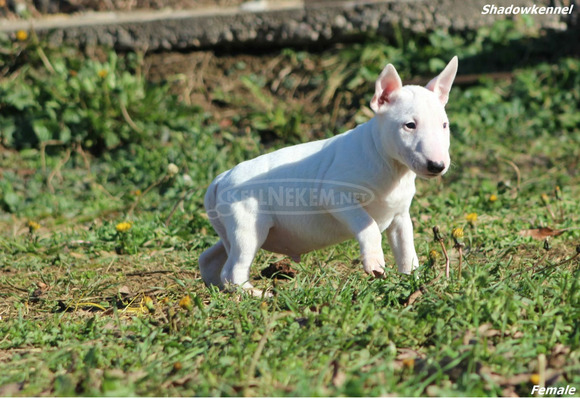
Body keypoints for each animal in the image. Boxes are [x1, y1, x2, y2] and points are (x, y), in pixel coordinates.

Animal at [199, 56, 458, 296]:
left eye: (445, 125)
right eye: (409, 125)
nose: (437, 166)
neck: (389, 164)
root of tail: (222, 178)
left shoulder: (400, 216)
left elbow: (406, 249)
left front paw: (413, 281)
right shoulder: (335, 195)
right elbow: (369, 225)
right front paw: (375, 264)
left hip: (231, 229)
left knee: (210, 257)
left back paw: (216, 288)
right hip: (248, 227)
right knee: (233, 270)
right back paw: (256, 294)